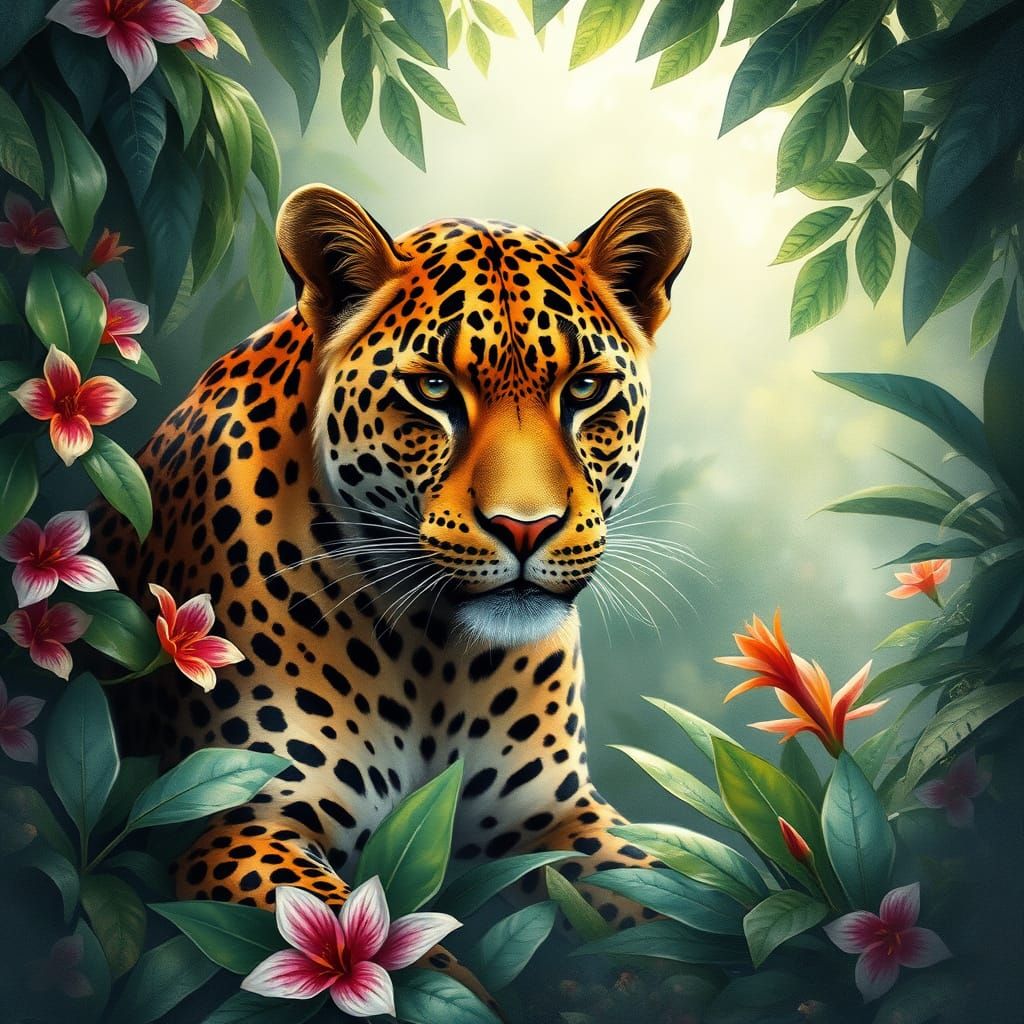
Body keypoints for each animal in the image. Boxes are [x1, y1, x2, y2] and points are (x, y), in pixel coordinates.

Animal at [94, 185, 692, 1001]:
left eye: (586, 389)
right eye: (434, 388)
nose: (526, 527)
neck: (434, 650)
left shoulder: (556, 814)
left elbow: (677, 904)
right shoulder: (239, 813)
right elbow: (380, 960)